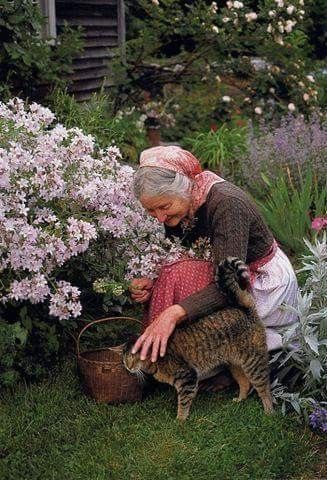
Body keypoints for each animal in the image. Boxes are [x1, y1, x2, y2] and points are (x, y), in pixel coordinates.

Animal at [123, 258, 274, 420]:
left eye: (134, 355)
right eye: (124, 359)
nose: (128, 366)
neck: (154, 360)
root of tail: (246, 310)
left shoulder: (187, 378)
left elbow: (183, 403)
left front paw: (180, 421)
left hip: (254, 363)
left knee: (264, 387)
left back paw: (269, 412)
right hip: (235, 364)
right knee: (245, 382)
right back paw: (240, 399)